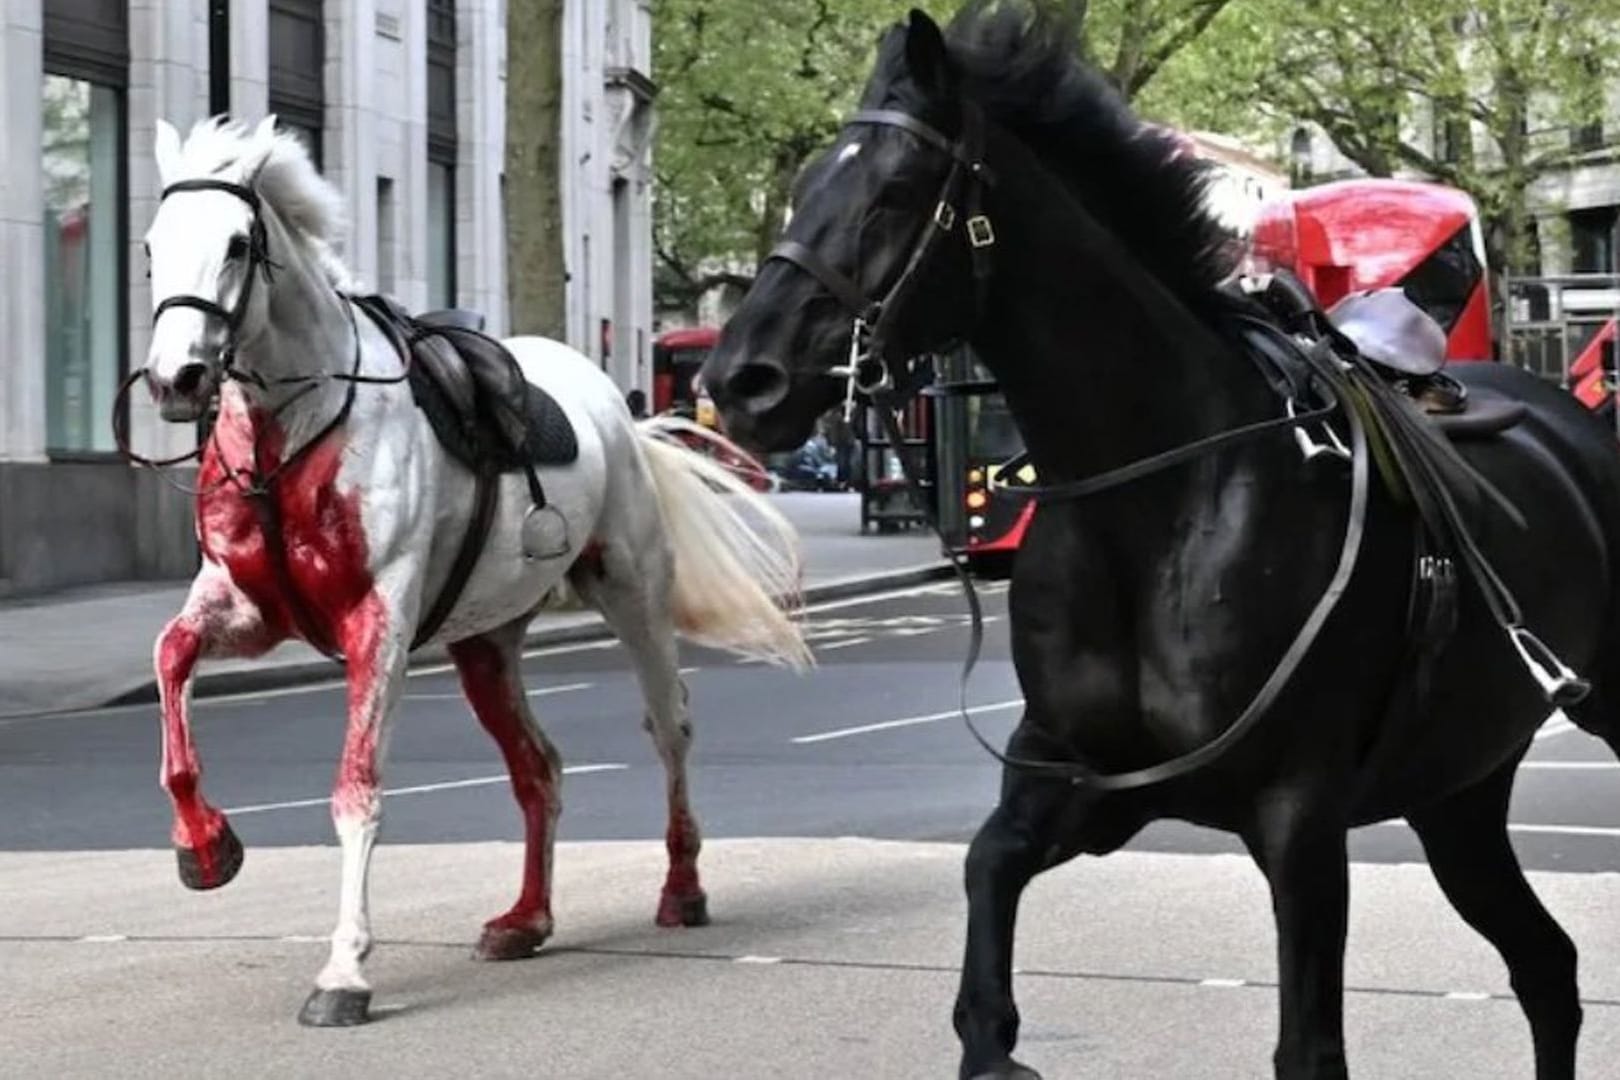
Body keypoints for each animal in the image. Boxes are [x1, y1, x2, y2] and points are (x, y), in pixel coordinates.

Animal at [136, 114, 810, 1029]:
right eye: (150, 246)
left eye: (239, 244)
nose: (175, 379)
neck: (294, 431)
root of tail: (616, 405)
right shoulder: (247, 608)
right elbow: (170, 660)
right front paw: (205, 846)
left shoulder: (377, 621)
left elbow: (357, 792)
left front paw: (344, 972)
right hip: (486, 640)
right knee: (539, 767)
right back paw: (526, 919)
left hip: (633, 592)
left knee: (669, 727)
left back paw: (682, 888)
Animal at [706, 4, 1620, 1075]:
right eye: (807, 186)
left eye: (893, 191)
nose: (740, 379)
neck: (1156, 511)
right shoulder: (1083, 783)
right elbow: (986, 890)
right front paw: (995, 1041)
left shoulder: (1301, 819)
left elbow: (1309, 1046)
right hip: (1458, 789)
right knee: (1546, 967)